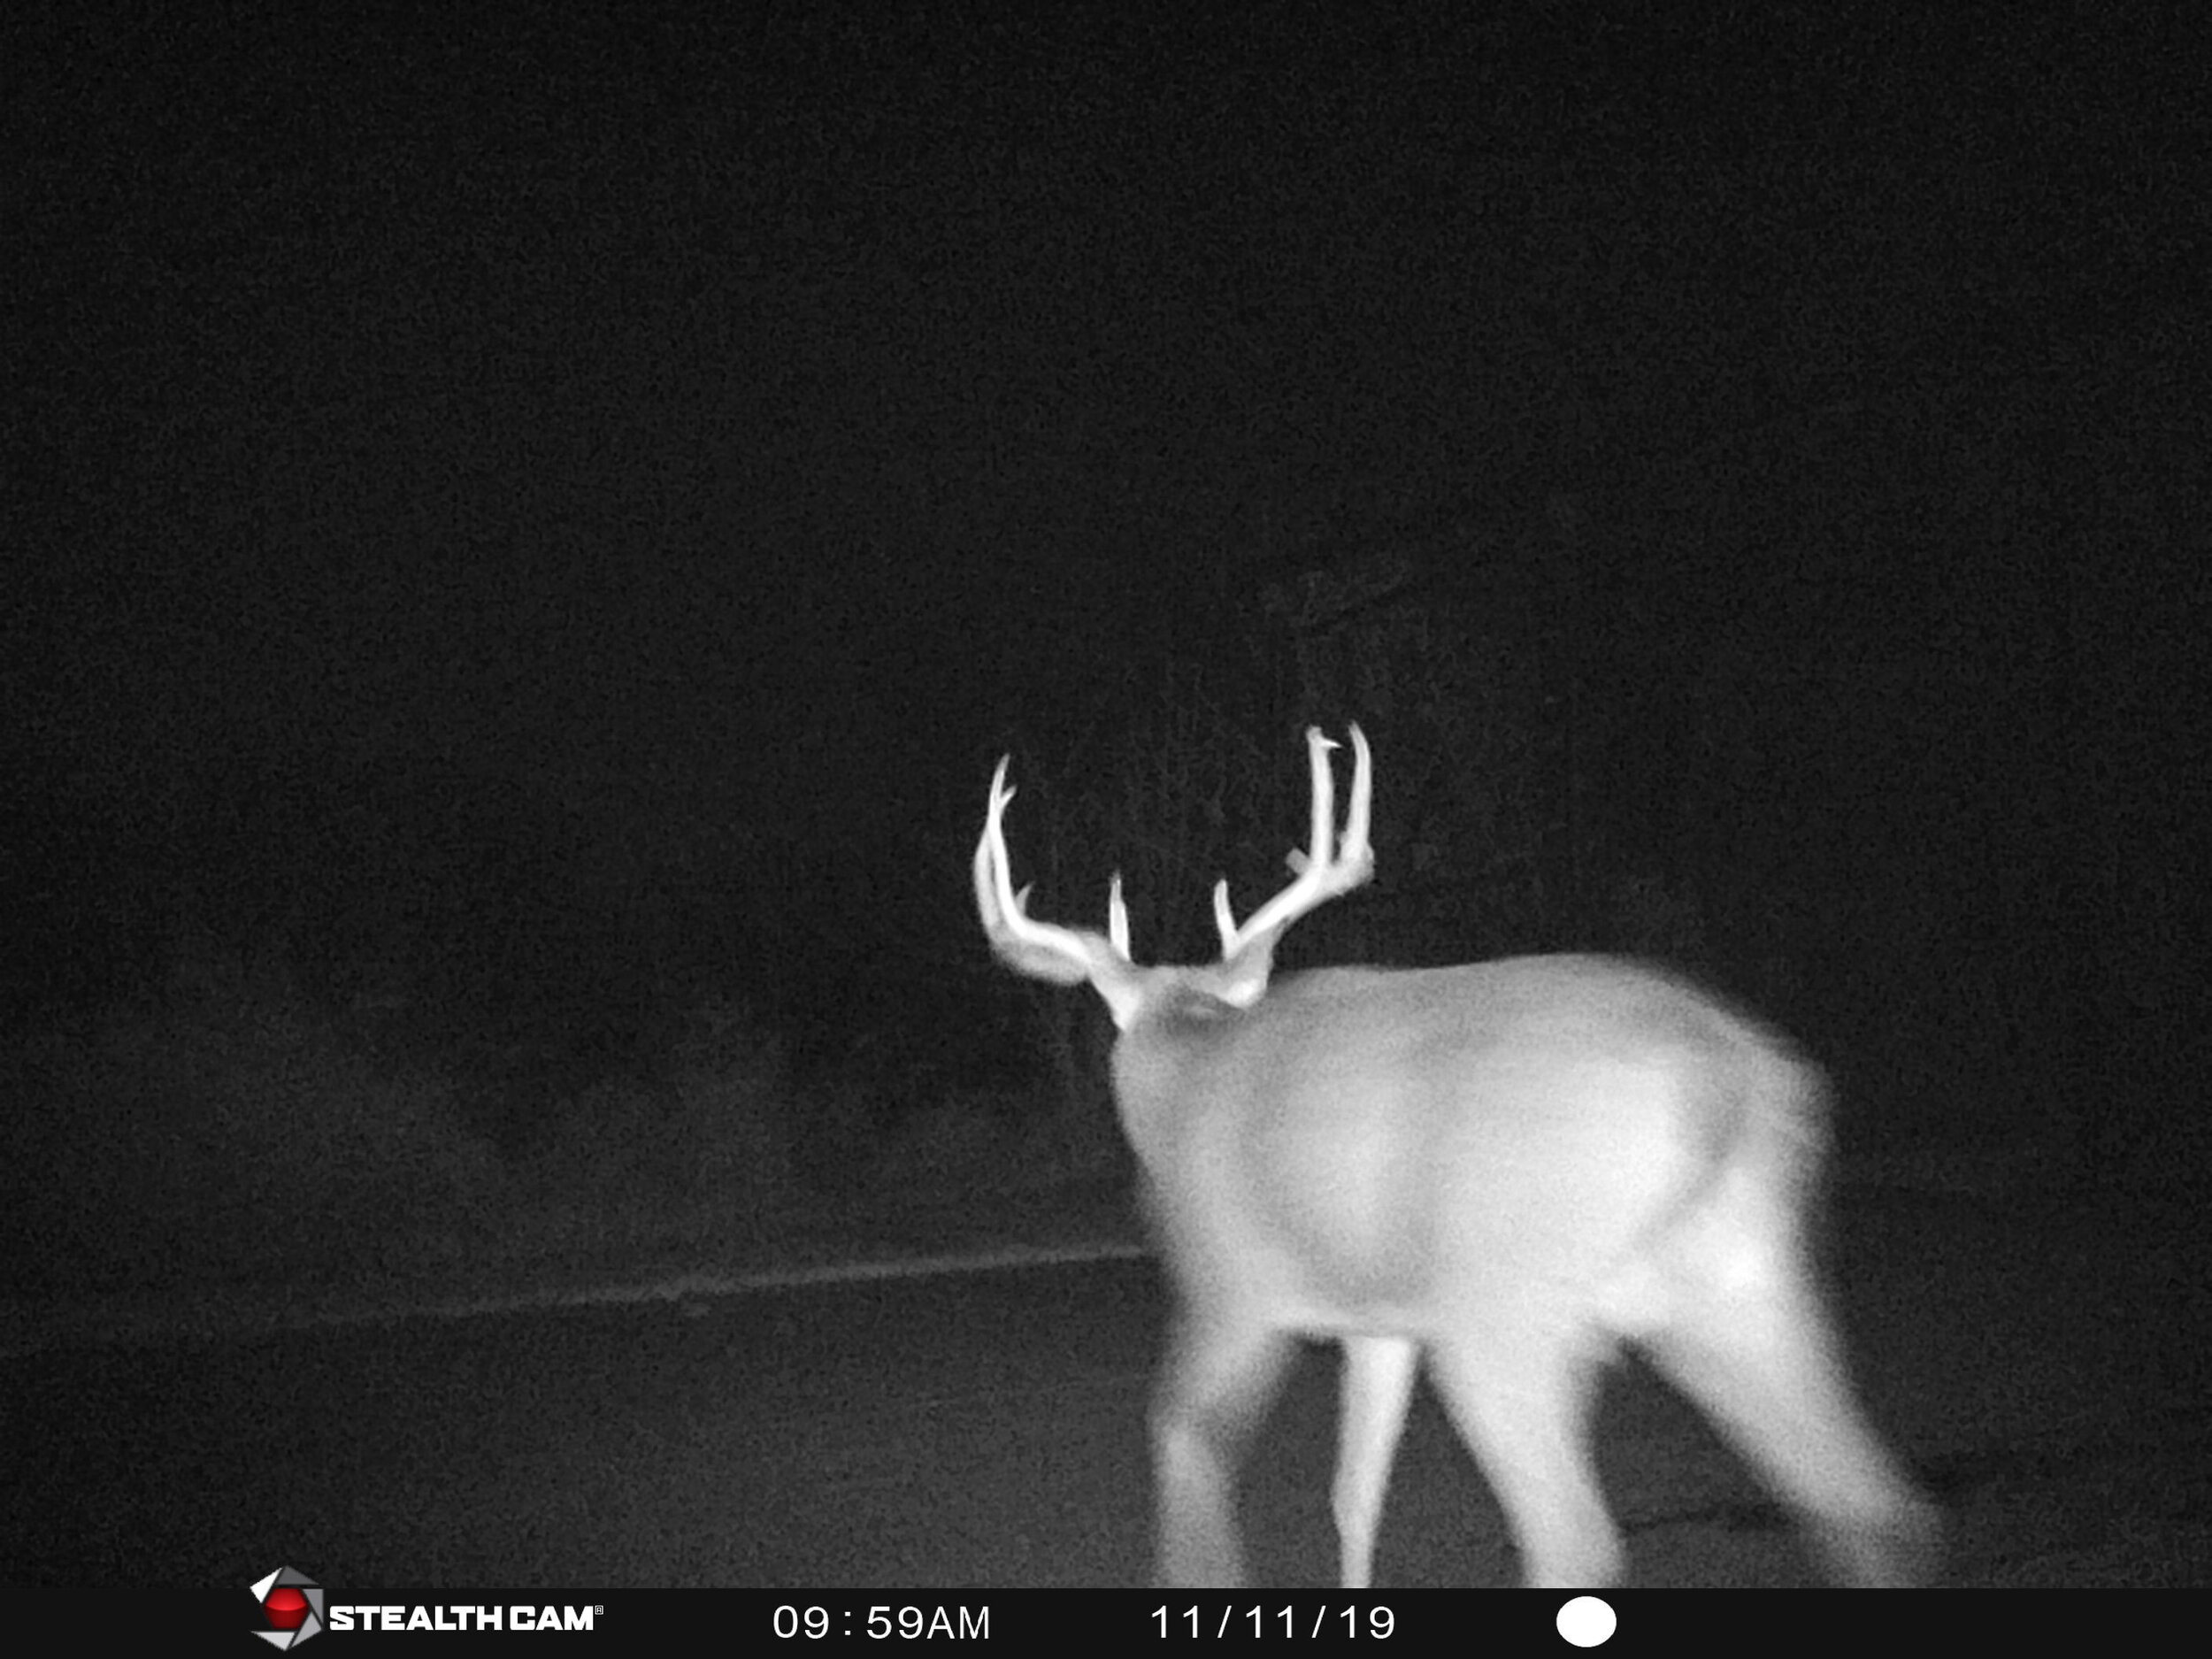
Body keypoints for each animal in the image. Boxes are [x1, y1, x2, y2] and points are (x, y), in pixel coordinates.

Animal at [973, 725, 1939, 1587]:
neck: (1187, 1073)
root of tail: (1726, 1076)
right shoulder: (1380, 1318)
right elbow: (1353, 1492)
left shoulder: (1233, 1283)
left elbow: (1181, 1438)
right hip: (1741, 1279)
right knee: (1873, 1504)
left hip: (1505, 1304)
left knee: (1577, 1539)